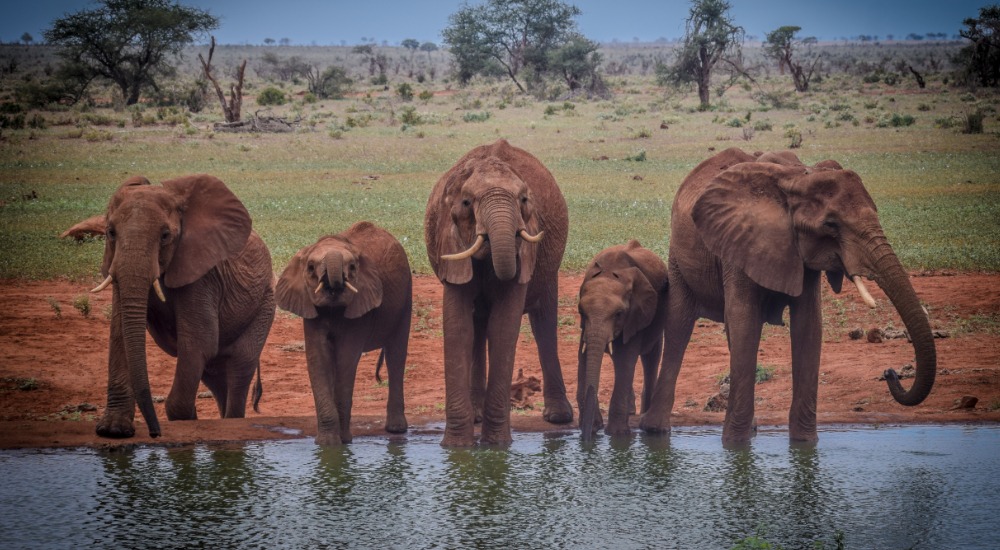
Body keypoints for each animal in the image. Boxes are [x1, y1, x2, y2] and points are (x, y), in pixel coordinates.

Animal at [92, 176, 276, 440]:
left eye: (165, 236)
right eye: (110, 232)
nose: (154, 434)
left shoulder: (202, 276)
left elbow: (199, 342)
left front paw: (185, 421)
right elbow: (119, 334)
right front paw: (113, 430)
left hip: (265, 302)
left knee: (240, 365)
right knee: (215, 374)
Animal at [274, 222, 410, 446]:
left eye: (353, 267)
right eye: (310, 267)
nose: (333, 284)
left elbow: (346, 359)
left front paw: (343, 443)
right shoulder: (310, 306)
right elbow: (318, 359)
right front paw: (326, 444)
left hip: (405, 295)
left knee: (396, 355)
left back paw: (396, 430)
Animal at [426, 138, 576, 448]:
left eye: (524, 200)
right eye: (467, 203)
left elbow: (503, 328)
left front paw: (496, 446)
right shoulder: (449, 241)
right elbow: (459, 328)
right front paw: (456, 447)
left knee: (543, 323)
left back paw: (558, 418)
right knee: (478, 326)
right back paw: (476, 415)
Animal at [576, 239, 668, 442]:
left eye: (618, 314)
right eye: (581, 312)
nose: (586, 439)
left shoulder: (636, 314)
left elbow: (625, 361)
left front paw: (617, 435)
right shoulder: (585, 327)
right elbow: (583, 357)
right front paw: (594, 427)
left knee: (650, 356)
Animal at [640, 149, 936, 446]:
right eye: (831, 225)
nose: (890, 372)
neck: (797, 178)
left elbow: (808, 326)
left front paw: (804, 444)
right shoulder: (740, 242)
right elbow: (746, 323)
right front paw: (735, 446)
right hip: (679, 260)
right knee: (679, 327)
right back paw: (655, 430)